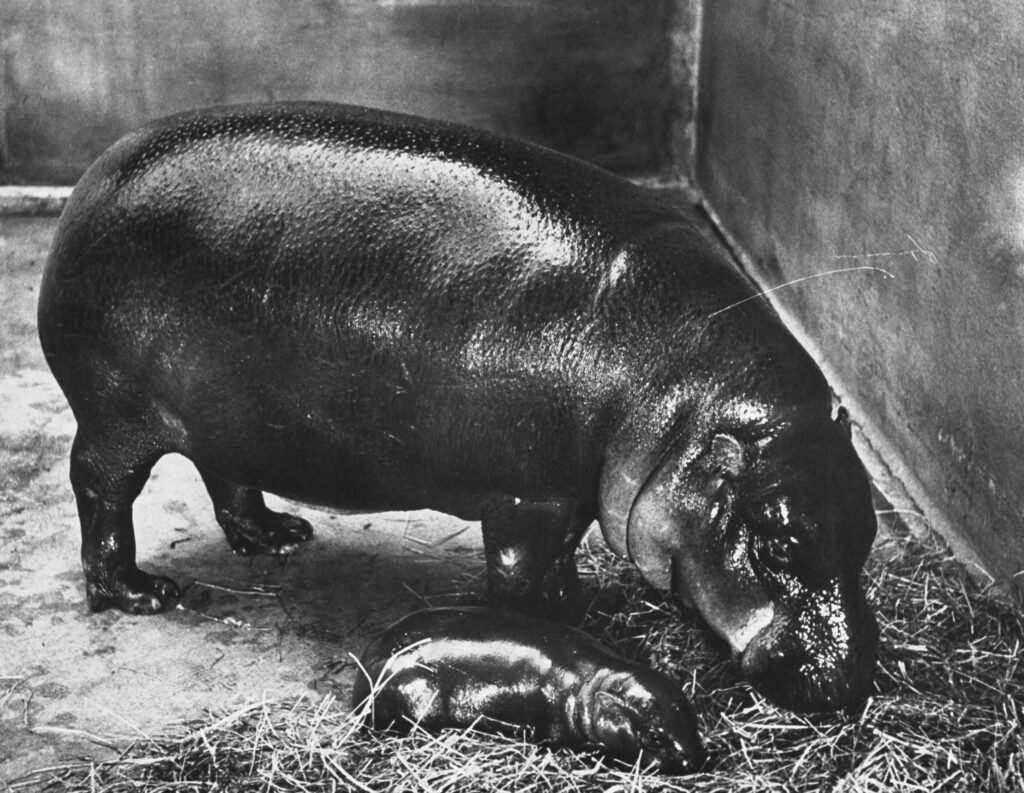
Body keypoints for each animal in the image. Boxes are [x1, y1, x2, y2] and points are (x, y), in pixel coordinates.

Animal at [38, 101, 878, 712]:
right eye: (775, 540)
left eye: (868, 529)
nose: (850, 686)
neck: (682, 398)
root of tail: (90, 180)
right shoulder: (528, 496)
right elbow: (523, 573)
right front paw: (561, 623)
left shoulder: (568, 488)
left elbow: (563, 555)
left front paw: (578, 605)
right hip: (116, 414)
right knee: (100, 491)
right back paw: (142, 592)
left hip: (228, 410)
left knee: (224, 471)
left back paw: (276, 537)